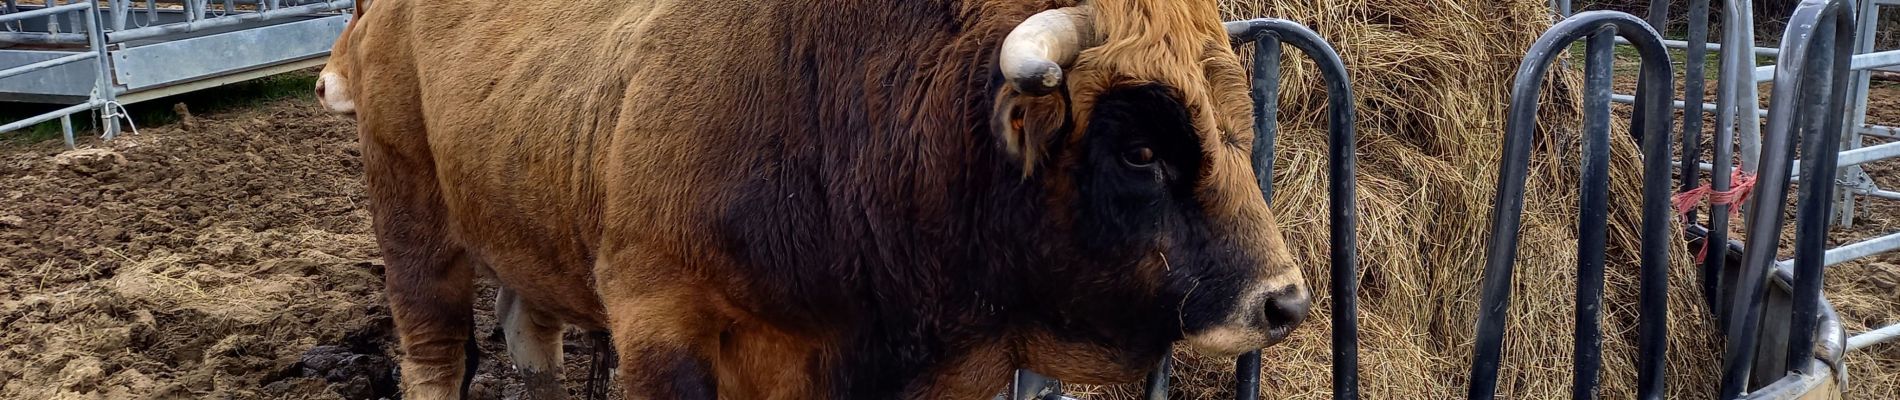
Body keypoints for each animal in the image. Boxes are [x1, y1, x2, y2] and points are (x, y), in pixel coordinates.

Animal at [319, 0, 1314, 396]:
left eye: (1238, 127)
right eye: (1141, 148)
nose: (1286, 301)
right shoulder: (659, 326)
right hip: (415, 230)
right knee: (436, 356)